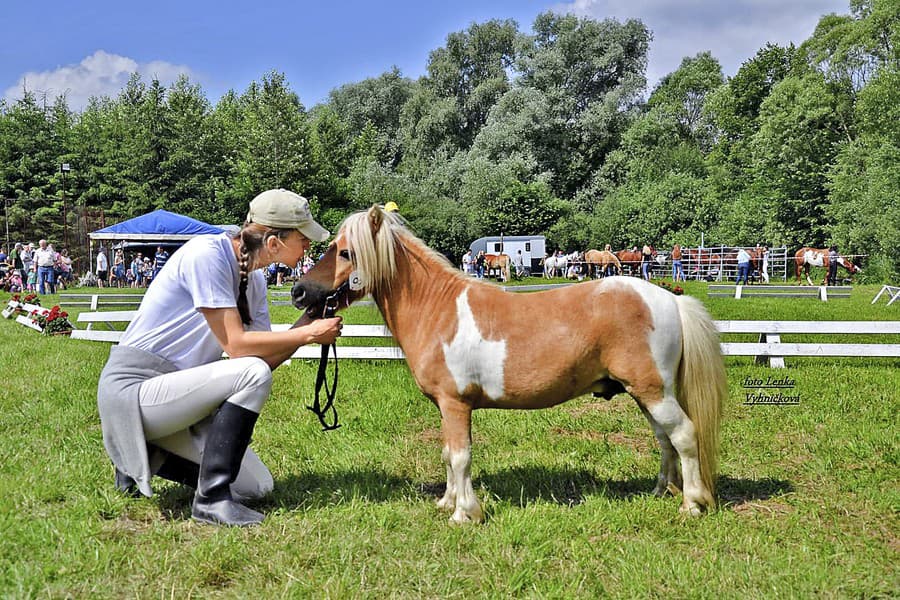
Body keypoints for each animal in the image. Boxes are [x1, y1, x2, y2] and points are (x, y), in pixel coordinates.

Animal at [292, 207, 728, 524]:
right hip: (646, 393)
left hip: (654, 392)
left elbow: (461, 456)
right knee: (665, 440)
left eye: (345, 252)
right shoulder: (444, 407)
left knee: (684, 435)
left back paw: (692, 504)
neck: (437, 309)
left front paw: (464, 514)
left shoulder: (455, 404)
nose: (298, 291)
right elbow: (447, 453)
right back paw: (661, 491)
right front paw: (447, 502)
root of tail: (671, 299)